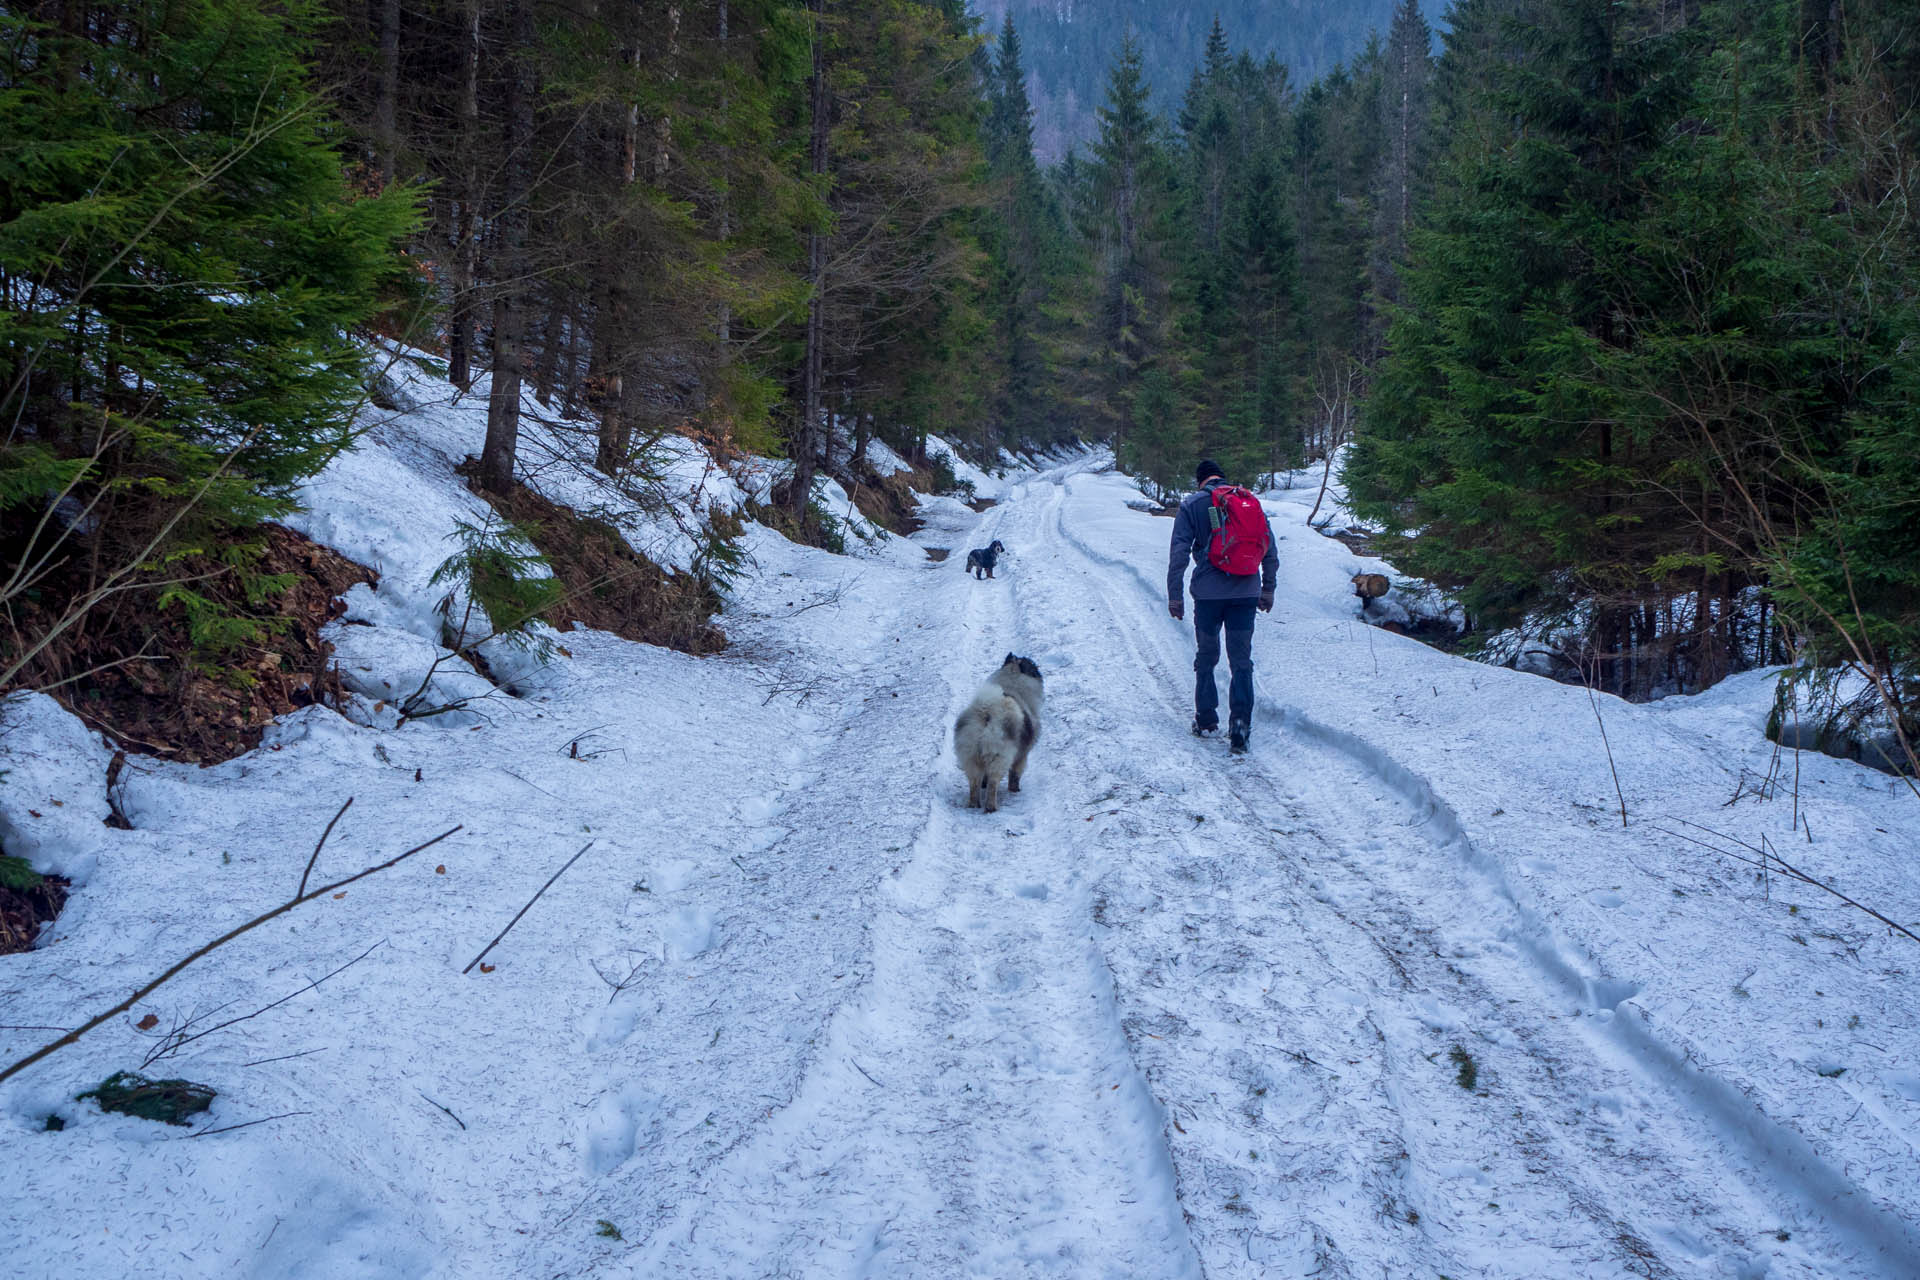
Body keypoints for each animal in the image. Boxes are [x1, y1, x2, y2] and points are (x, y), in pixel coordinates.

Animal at [952, 656, 1044, 817]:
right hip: (999, 757)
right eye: (1033, 666)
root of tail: (987, 712)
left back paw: (974, 805)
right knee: (993, 784)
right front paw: (1015, 790)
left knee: (974, 783)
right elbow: (1015, 775)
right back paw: (991, 807)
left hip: (970, 756)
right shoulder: (1022, 756)